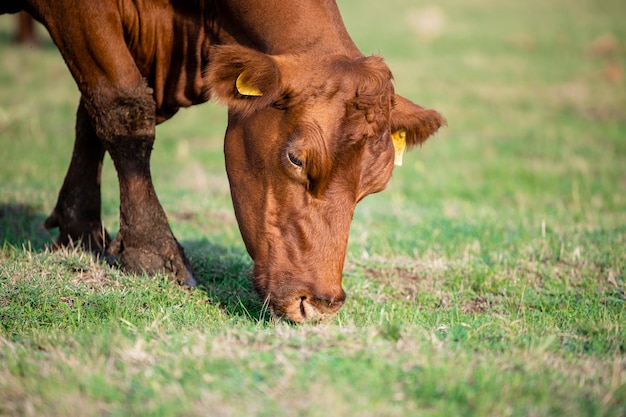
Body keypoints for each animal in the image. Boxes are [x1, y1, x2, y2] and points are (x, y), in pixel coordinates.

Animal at [2, 0, 446, 322]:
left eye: (375, 185)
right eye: (296, 159)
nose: (320, 303)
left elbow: (90, 117)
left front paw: (78, 229)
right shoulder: (83, 17)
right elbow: (120, 107)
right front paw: (151, 252)